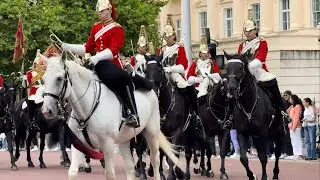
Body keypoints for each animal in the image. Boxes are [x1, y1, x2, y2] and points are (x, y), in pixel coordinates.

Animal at [39, 51, 179, 180]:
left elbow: (110, 174)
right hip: (124, 140)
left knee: (155, 161)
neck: (87, 108)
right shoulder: (78, 145)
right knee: (130, 166)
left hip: (151, 133)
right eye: (44, 79)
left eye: (59, 78)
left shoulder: (108, 147)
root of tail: (151, 87)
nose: (46, 110)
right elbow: (72, 173)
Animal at [224, 52, 284, 180]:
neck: (248, 105)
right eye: (227, 69)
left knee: (277, 153)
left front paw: (264, 177)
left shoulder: (263, 133)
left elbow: (263, 157)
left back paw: (275, 174)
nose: (231, 88)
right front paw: (251, 176)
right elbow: (243, 158)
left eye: (240, 69)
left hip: (278, 133)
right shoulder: (242, 133)